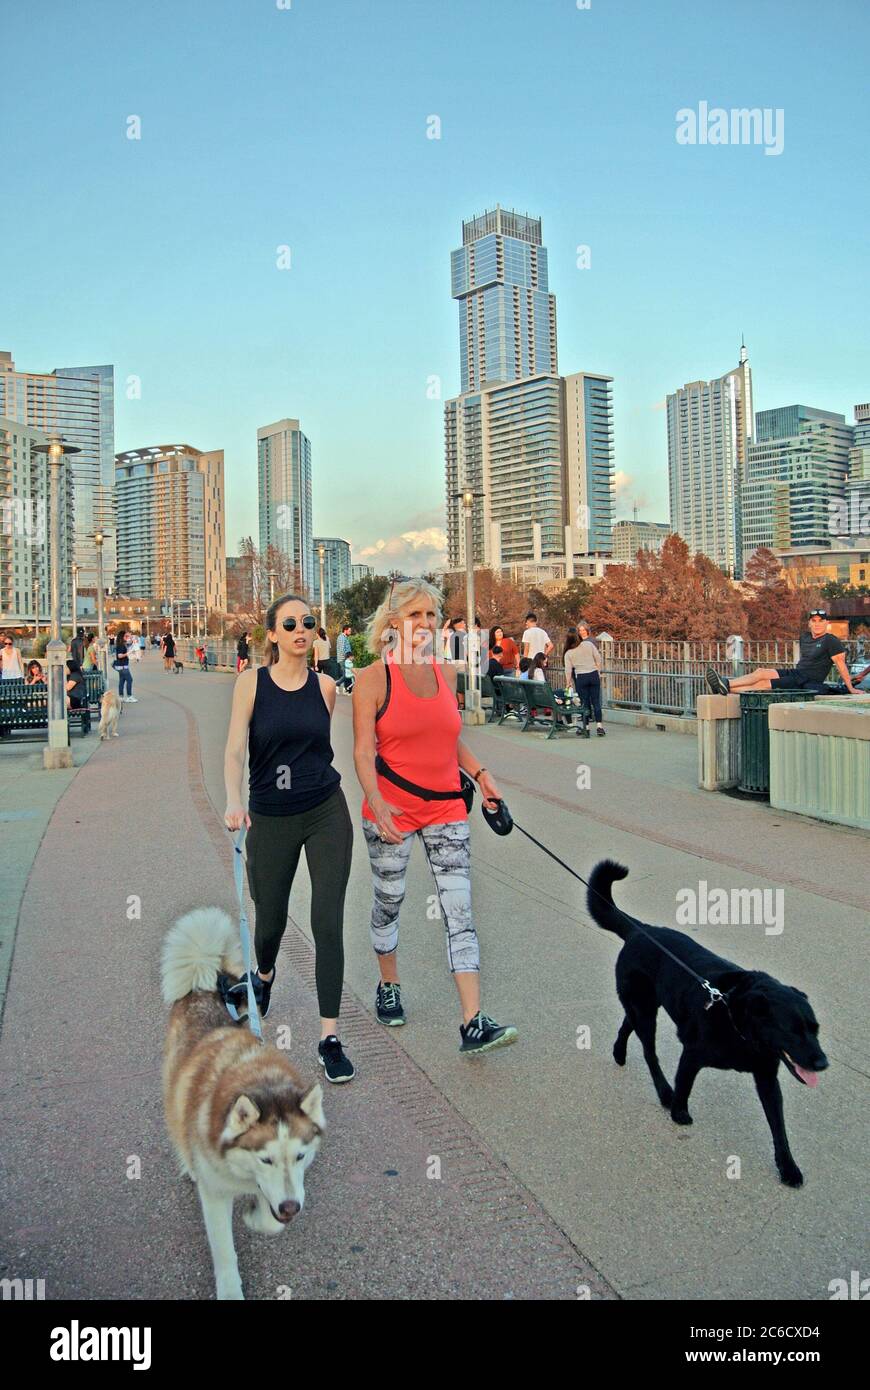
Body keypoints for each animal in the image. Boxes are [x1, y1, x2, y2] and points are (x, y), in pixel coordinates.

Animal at [586, 856, 822, 1184]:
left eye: (815, 1030)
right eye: (793, 1031)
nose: (822, 1063)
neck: (739, 1025)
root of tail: (640, 930)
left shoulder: (767, 1077)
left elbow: (779, 1126)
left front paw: (788, 1167)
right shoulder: (692, 1055)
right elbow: (684, 1085)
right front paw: (678, 1112)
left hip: (643, 1004)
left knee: (626, 1024)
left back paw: (619, 1053)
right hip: (646, 1012)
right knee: (649, 1052)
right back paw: (663, 1092)